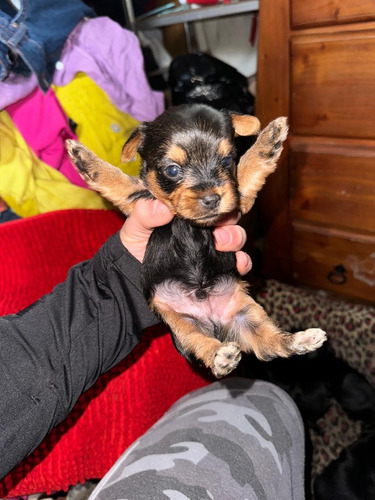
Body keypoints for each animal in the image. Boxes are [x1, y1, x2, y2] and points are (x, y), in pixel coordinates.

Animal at [66, 106, 328, 378]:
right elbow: (117, 181)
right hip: (182, 326)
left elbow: (247, 167)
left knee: (270, 344)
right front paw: (82, 157)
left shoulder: (238, 201)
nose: (212, 198)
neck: (190, 226)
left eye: (226, 161)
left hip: (246, 314)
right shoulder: (138, 201)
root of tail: (214, 323)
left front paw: (270, 138)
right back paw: (221, 356)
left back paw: (302, 339)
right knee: (203, 344)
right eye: (172, 170)